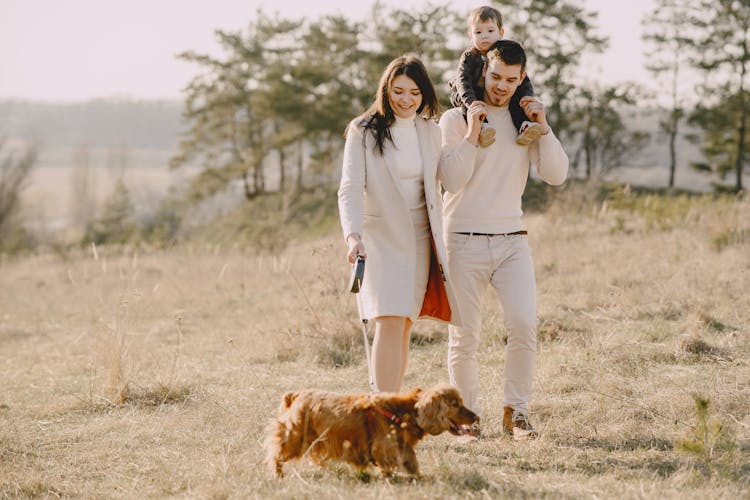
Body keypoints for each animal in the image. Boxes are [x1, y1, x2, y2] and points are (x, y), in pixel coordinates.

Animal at [264, 386, 476, 476]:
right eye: (455, 405)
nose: (476, 417)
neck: (401, 412)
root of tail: (296, 394)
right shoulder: (384, 449)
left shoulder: (401, 446)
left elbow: (411, 463)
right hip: (294, 439)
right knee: (276, 455)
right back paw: (277, 474)